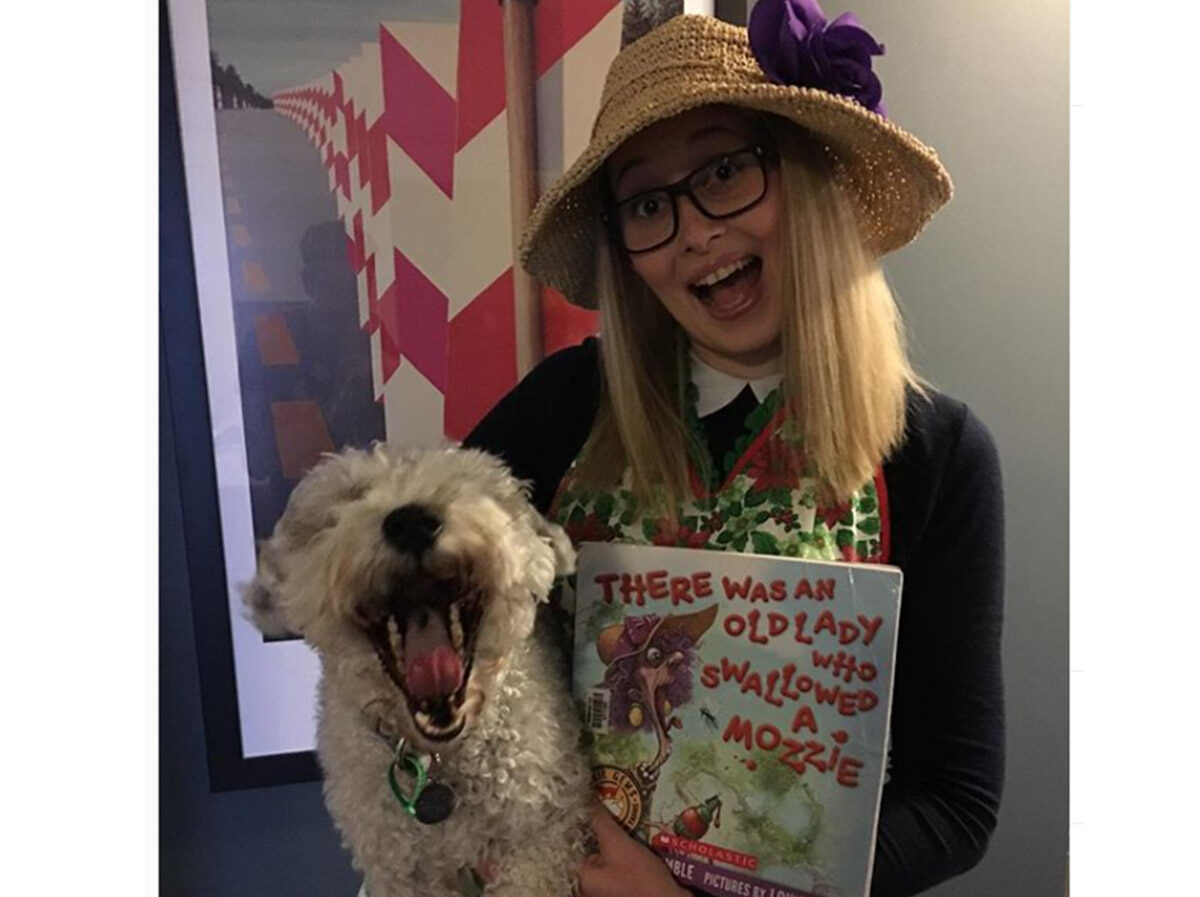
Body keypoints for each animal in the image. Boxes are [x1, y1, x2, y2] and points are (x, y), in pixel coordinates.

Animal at [247, 448, 590, 897]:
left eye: (469, 484)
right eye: (350, 497)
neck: (438, 759)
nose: (411, 522)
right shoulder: (397, 868)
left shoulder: (544, 832)